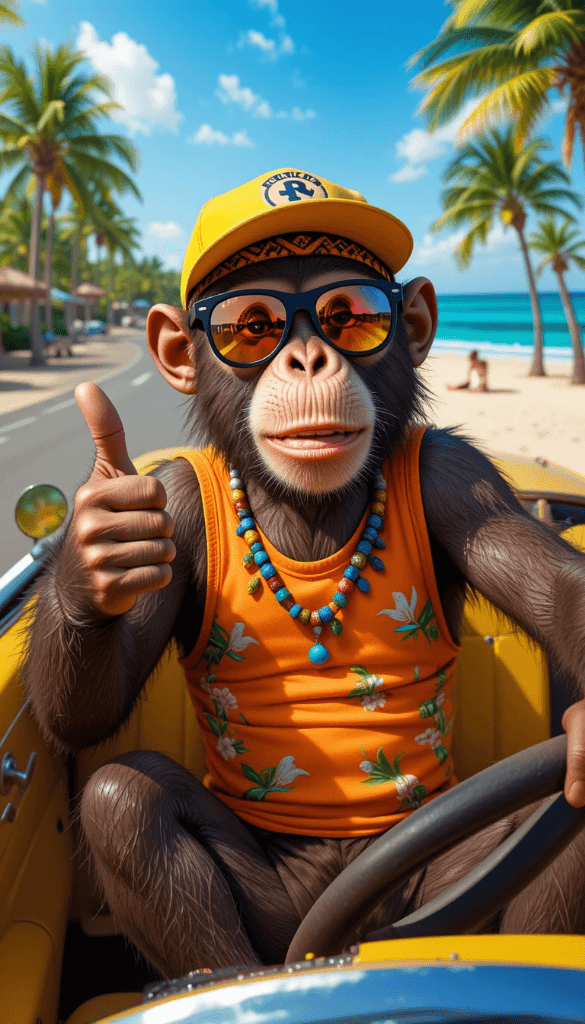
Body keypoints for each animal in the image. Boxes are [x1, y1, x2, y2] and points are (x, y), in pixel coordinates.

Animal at [22, 169, 585, 981]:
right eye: (250, 326)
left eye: (348, 316)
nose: (309, 360)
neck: (307, 511)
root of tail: (337, 939)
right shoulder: (179, 504)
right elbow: (82, 717)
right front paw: (97, 555)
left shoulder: (461, 480)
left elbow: (556, 588)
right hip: (277, 916)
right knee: (125, 801)